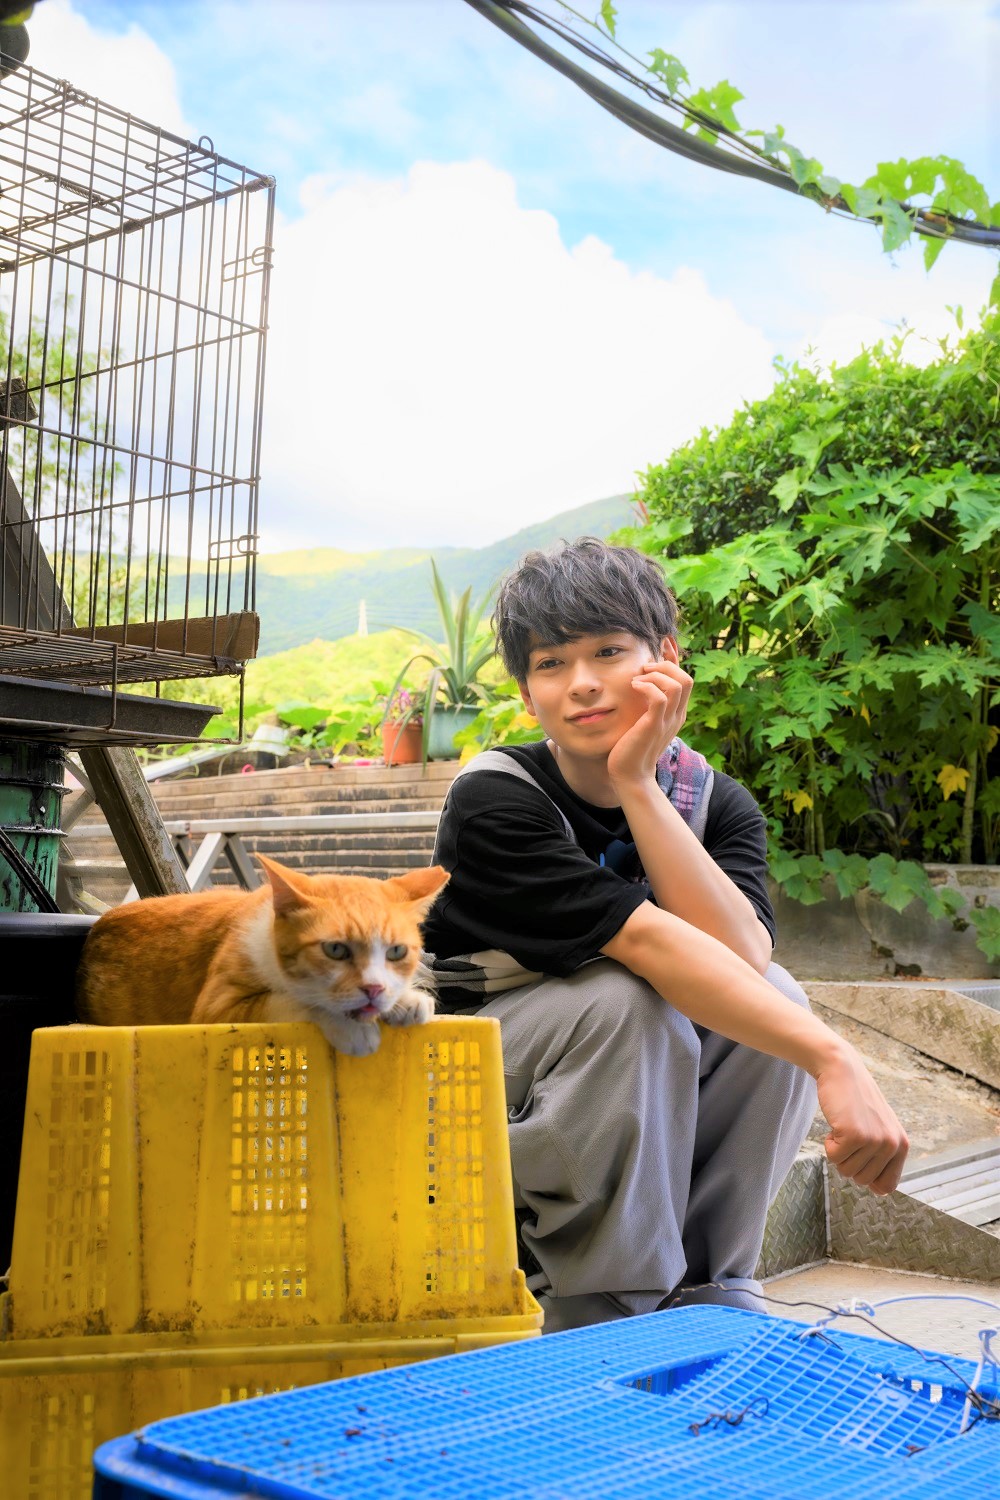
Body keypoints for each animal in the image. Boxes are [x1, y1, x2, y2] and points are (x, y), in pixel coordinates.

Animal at [78, 858, 449, 1056]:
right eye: (335, 949)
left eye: (396, 951)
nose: (373, 989)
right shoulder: (214, 1009)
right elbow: (291, 1000)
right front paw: (353, 1031)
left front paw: (409, 1000)